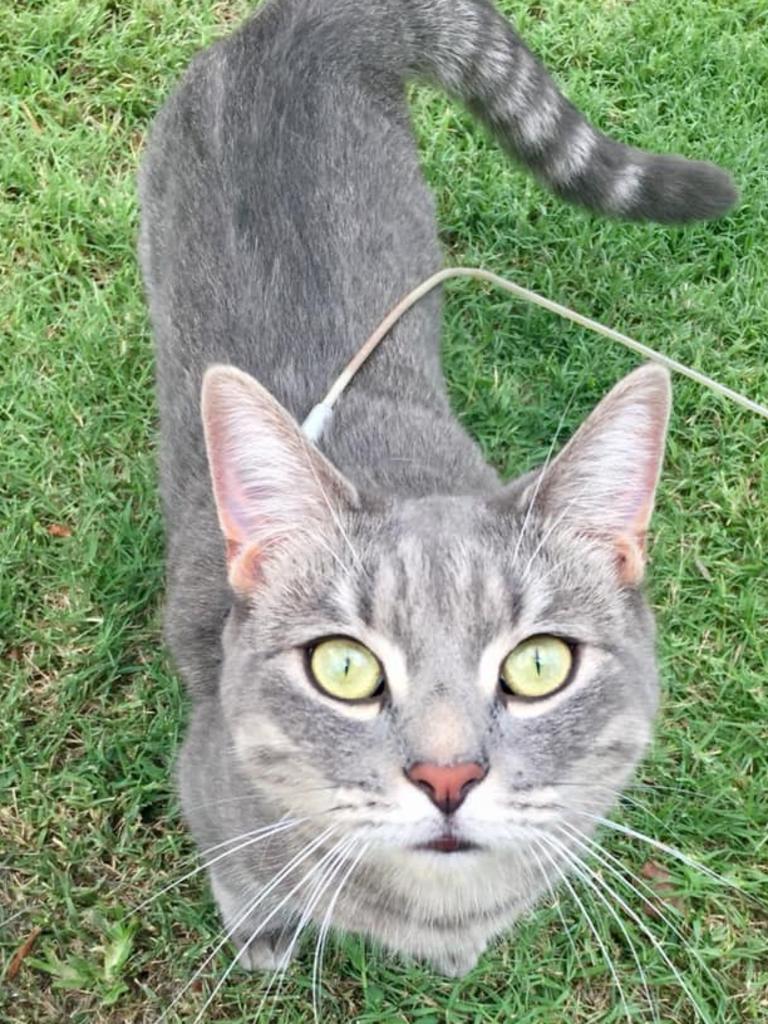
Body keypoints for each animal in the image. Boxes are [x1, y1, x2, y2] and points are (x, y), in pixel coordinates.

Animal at [140, 0, 741, 978]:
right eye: (342, 668)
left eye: (540, 665)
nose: (447, 777)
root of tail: (299, 26)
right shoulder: (208, 792)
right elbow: (245, 887)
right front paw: (264, 938)